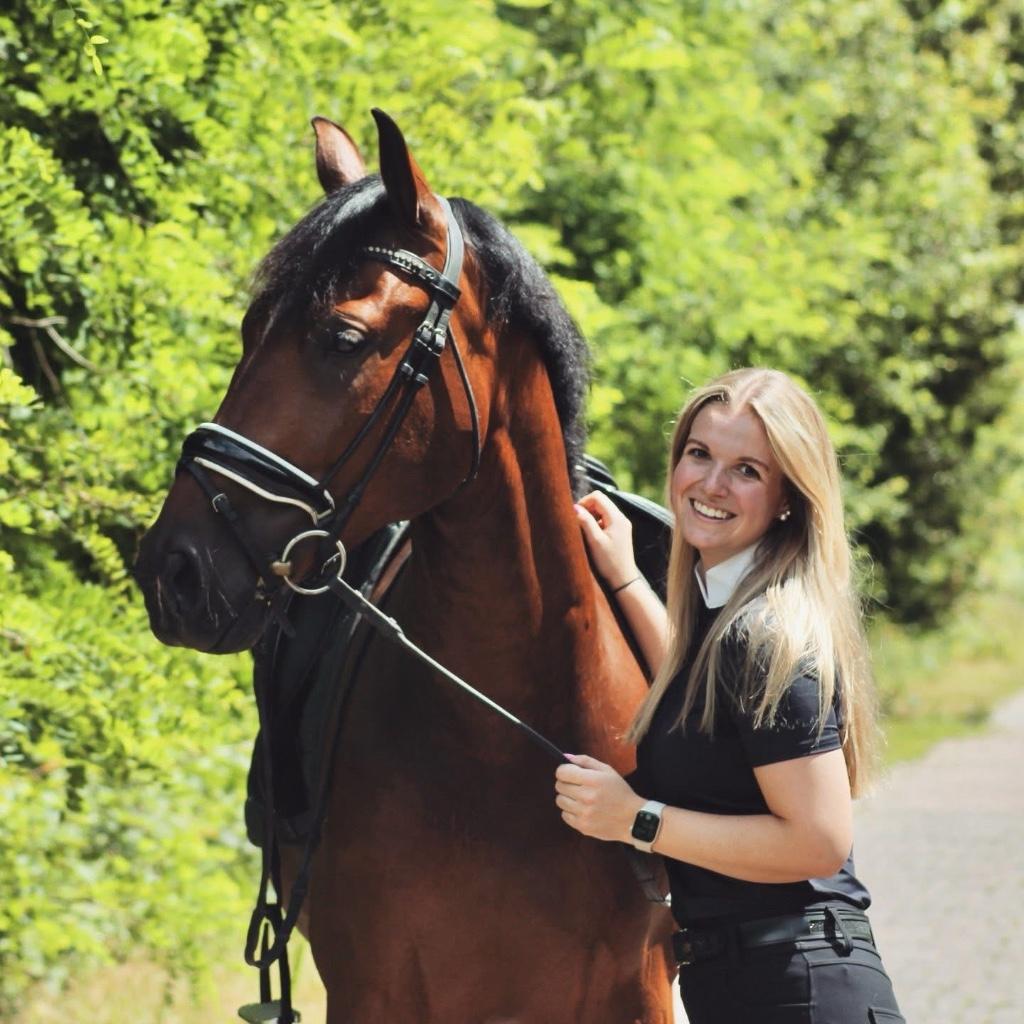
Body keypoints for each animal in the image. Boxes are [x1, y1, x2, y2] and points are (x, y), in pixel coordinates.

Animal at [135, 108, 675, 1023]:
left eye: (343, 339)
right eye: (249, 332)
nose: (173, 571)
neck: (506, 747)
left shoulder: (636, 990)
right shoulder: (375, 990)